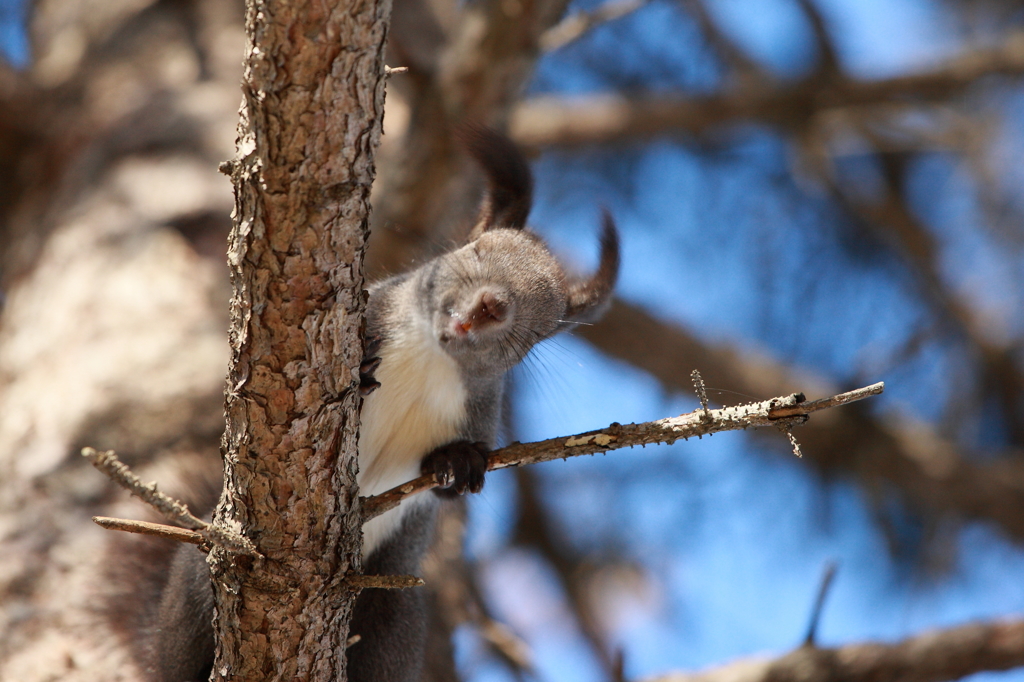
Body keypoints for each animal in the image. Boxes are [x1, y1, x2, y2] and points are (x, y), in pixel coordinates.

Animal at [105, 124, 614, 675]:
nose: (489, 306)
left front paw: (458, 463)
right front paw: (364, 368)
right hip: (203, 577)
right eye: (475, 250)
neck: (432, 359)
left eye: (545, 326)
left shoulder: (479, 410)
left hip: (392, 618)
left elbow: (453, 484)